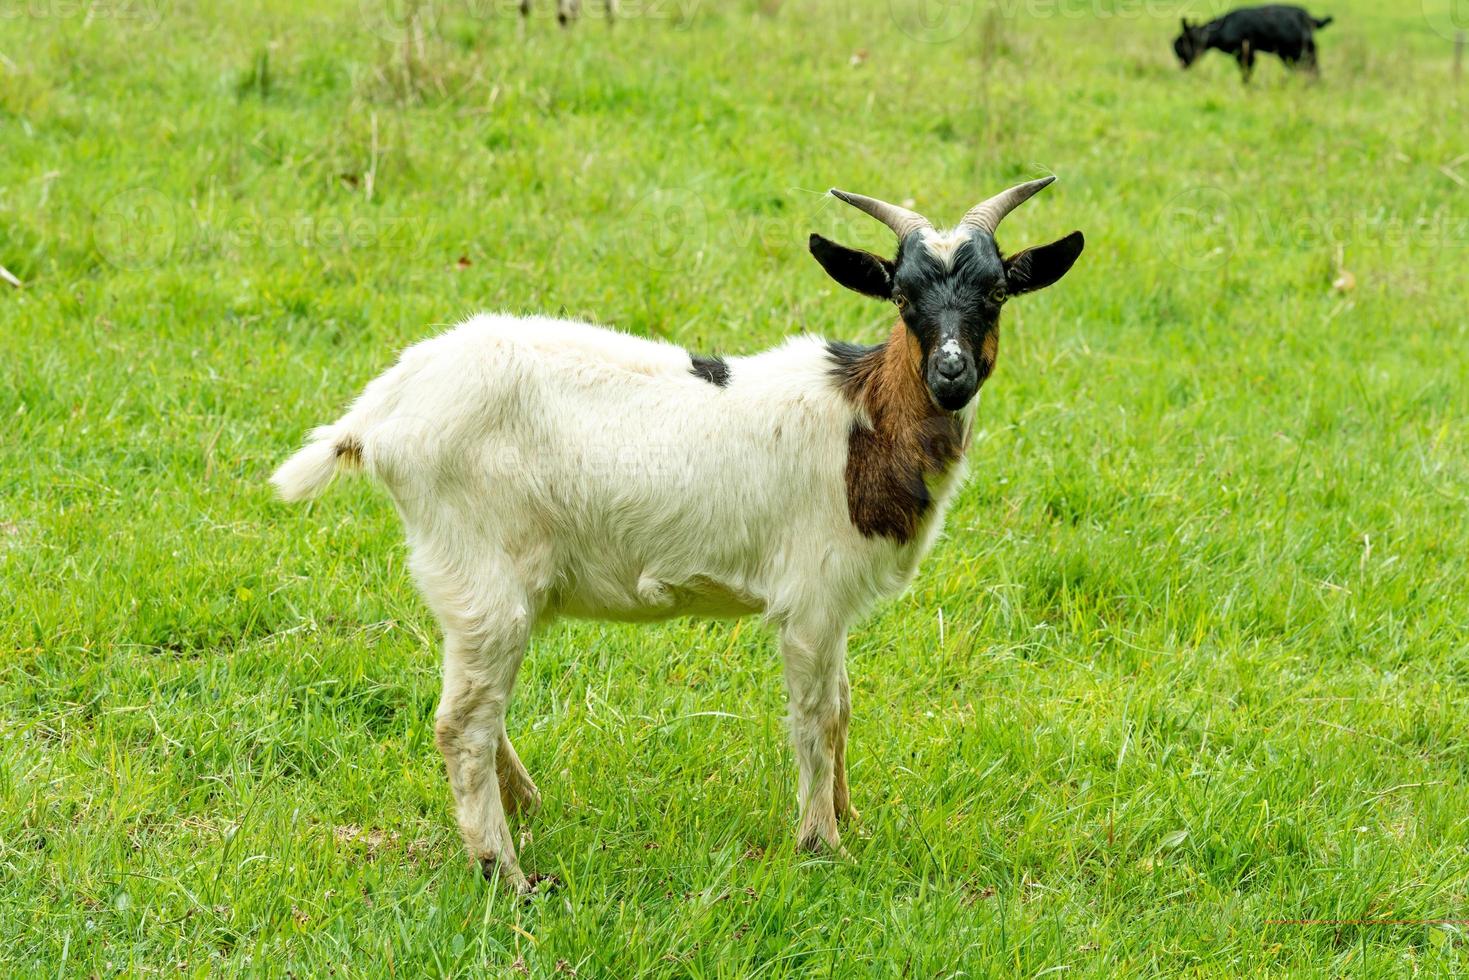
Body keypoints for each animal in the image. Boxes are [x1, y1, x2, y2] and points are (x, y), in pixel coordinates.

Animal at [276, 176, 1081, 887]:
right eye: (903, 296)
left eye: (996, 292)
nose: (950, 376)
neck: (864, 423)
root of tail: (381, 410)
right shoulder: (810, 598)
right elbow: (815, 718)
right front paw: (822, 845)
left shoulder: (836, 604)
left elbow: (846, 708)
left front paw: (852, 820)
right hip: (481, 567)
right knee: (461, 722)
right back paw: (504, 871)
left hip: (469, 584)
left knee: (475, 701)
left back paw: (527, 808)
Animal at [1175, 4, 1339, 81]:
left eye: (1182, 45)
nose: (1182, 66)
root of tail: (1310, 18)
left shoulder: (1246, 53)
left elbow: (1246, 74)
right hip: (1292, 54)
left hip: (1300, 51)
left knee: (1312, 69)